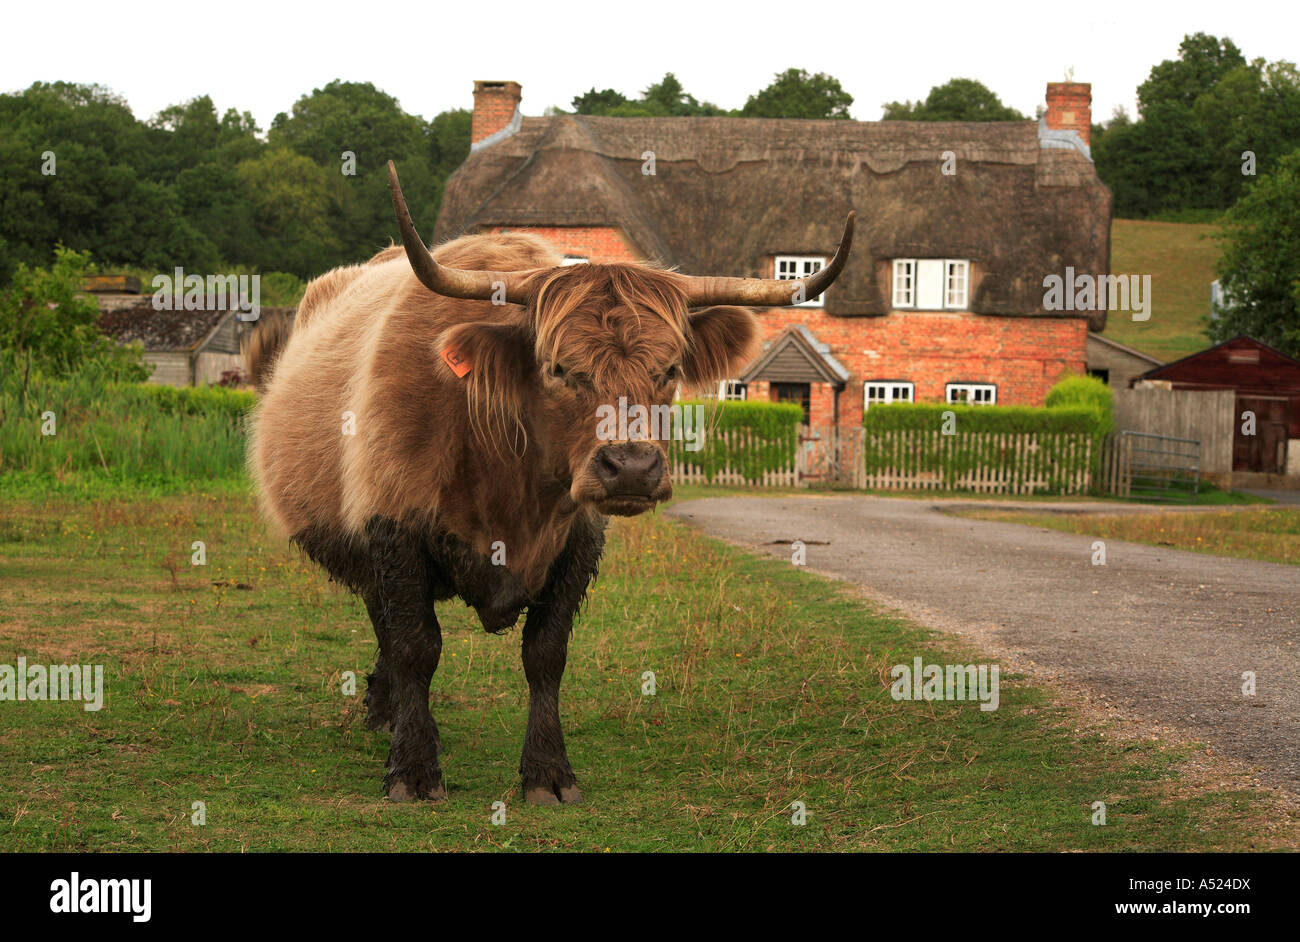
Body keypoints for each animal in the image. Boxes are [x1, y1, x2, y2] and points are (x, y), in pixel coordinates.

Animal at [246, 161, 854, 804]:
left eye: (668, 371)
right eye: (560, 369)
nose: (631, 467)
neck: (505, 471)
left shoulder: (578, 542)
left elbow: (546, 654)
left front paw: (547, 771)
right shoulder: (394, 526)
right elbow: (416, 646)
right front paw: (413, 767)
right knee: (386, 625)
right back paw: (391, 715)